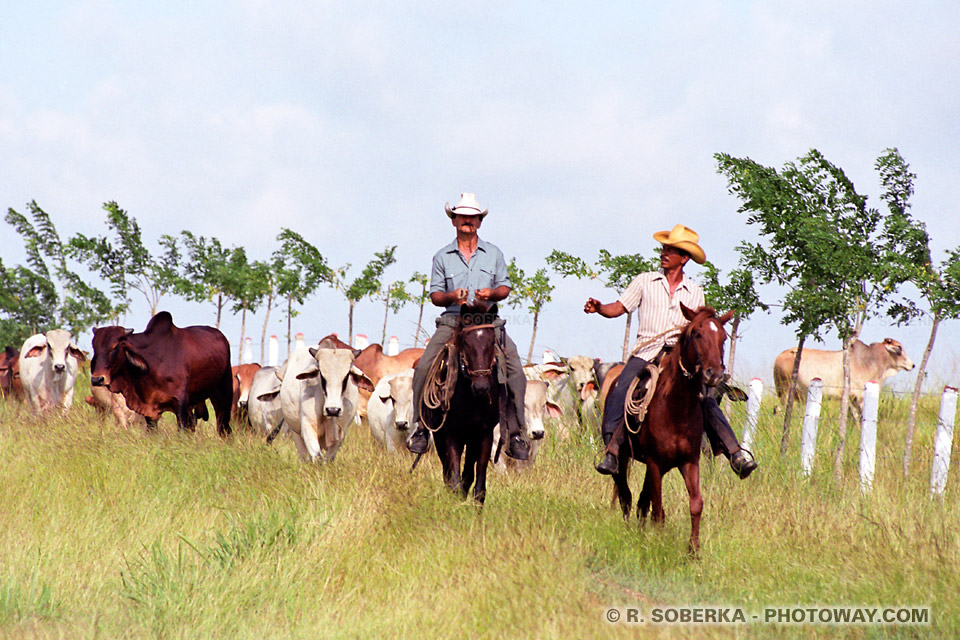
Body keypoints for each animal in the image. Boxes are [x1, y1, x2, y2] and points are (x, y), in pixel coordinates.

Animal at [90, 314, 234, 438]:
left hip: (223, 395)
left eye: (115, 347)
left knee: (224, 428)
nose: (97, 379)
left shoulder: (180, 404)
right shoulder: (150, 410)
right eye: (94, 346)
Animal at [422, 318, 510, 502]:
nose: (481, 387)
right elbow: (453, 477)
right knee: (447, 472)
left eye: (491, 342)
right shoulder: (452, 434)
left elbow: (477, 483)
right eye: (466, 343)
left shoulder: (484, 435)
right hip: (441, 437)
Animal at [612, 304, 732, 552]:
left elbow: (695, 504)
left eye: (723, 337)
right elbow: (657, 509)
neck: (676, 409)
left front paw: (693, 550)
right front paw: (658, 543)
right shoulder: (655, 462)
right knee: (626, 494)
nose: (713, 373)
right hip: (623, 457)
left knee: (641, 500)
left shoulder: (689, 461)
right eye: (696, 333)